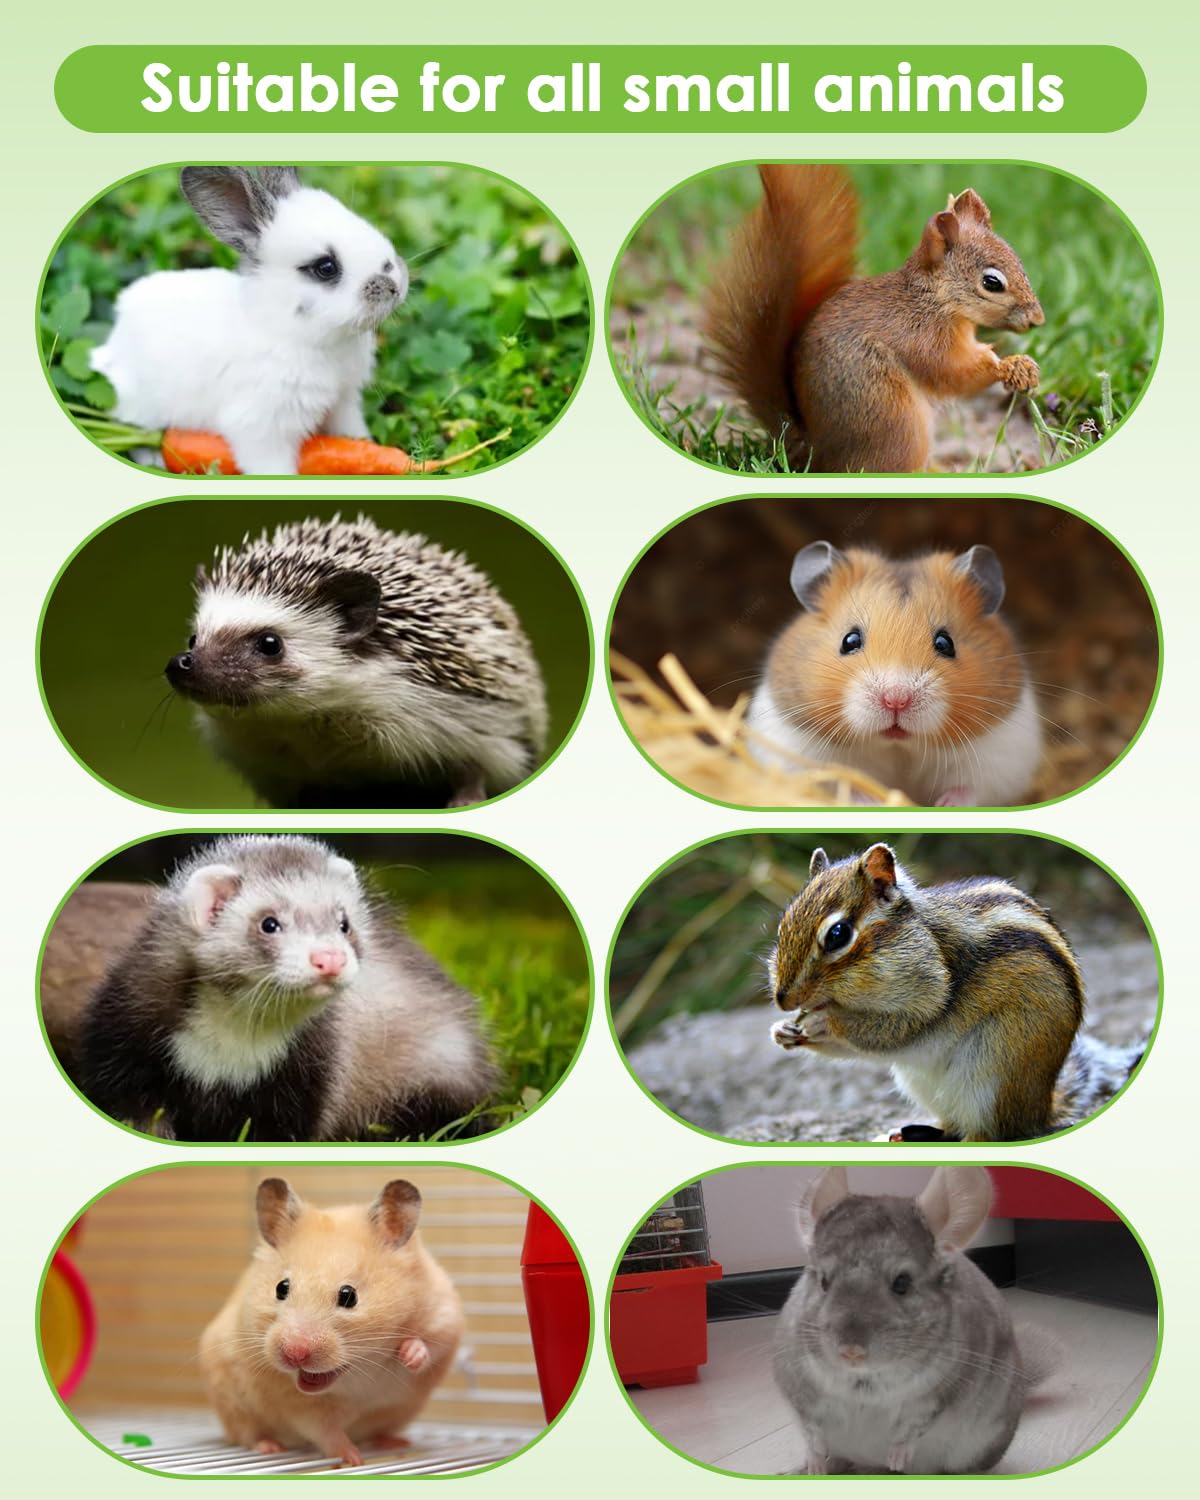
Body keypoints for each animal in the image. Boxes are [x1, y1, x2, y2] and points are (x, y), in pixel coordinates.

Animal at [90, 166, 408, 475]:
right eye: (326, 267)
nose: (395, 283)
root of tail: (112, 347)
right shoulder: (262, 428)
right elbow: (272, 467)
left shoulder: (343, 401)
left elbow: (351, 434)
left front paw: (367, 448)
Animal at [773, 1165, 1060, 1475]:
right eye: (824, 1281)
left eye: (902, 1283)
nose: (851, 1351)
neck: (865, 1382)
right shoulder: (796, 1387)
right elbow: (811, 1433)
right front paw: (814, 1465)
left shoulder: (940, 1394)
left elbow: (912, 1428)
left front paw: (896, 1460)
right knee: (839, 1457)